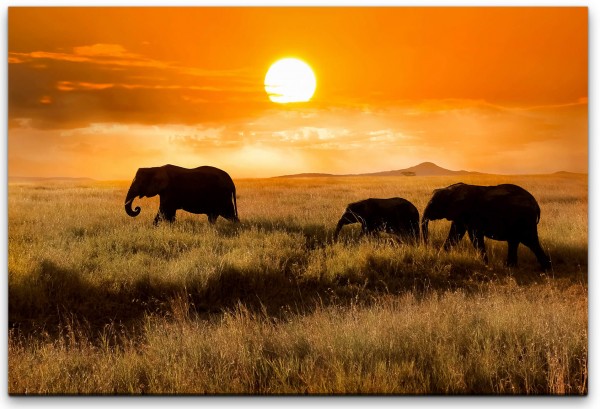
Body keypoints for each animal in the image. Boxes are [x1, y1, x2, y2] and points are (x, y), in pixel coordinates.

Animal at [420, 183, 552, 270]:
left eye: (432, 204)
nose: (427, 247)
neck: (451, 190)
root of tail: (536, 204)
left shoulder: (472, 214)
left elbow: (474, 237)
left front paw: (485, 265)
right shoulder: (461, 216)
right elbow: (455, 235)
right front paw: (440, 257)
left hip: (524, 220)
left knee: (530, 241)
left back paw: (545, 269)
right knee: (516, 241)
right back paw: (511, 267)